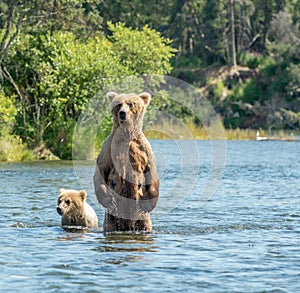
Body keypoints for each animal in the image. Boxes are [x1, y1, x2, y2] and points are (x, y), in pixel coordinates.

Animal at [94, 91, 159, 233]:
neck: (126, 135)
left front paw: (149, 203)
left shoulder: (143, 149)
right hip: (111, 217)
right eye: (119, 104)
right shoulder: (108, 148)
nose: (122, 113)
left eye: (131, 104)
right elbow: (101, 169)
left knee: (145, 223)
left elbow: (151, 171)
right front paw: (107, 199)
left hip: (142, 216)